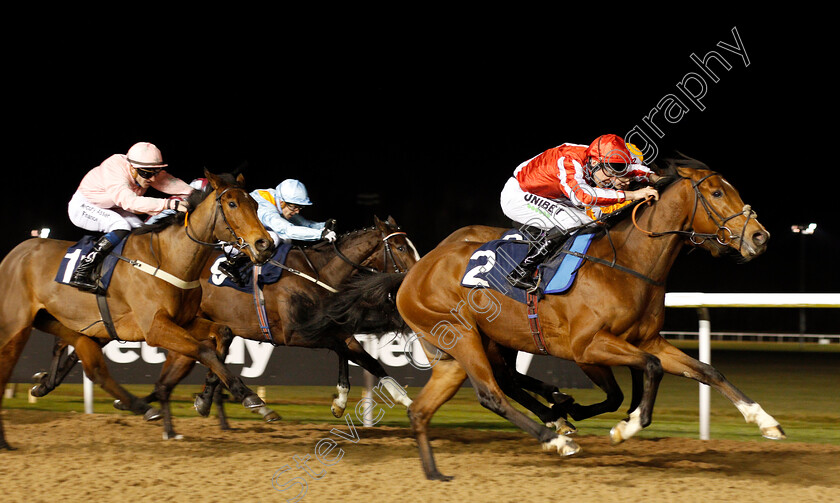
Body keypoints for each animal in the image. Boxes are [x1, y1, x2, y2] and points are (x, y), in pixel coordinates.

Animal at [0, 170, 272, 448]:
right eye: (232, 204)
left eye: (255, 204)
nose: (265, 245)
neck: (169, 259)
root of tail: (15, 253)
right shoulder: (154, 328)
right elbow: (205, 351)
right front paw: (246, 394)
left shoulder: (184, 321)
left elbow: (223, 334)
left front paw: (206, 398)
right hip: (21, 323)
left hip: (71, 323)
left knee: (85, 362)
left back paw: (48, 386)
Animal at [398, 161, 784, 480]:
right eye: (717, 192)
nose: (760, 236)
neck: (627, 264)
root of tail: (415, 271)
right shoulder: (587, 348)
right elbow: (650, 369)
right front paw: (625, 427)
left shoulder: (646, 340)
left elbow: (706, 371)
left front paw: (766, 421)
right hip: (463, 336)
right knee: (491, 393)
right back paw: (556, 438)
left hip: (472, 347)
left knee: (458, 396)